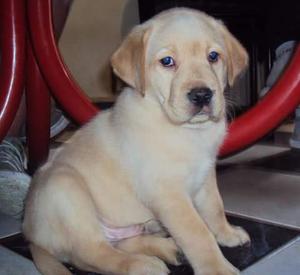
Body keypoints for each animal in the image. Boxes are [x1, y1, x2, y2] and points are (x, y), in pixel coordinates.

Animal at [22, 7, 248, 274]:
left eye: (213, 56)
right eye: (167, 61)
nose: (202, 94)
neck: (186, 131)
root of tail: (31, 236)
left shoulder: (205, 175)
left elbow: (215, 207)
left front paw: (227, 233)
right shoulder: (168, 194)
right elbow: (197, 232)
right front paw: (218, 267)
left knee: (120, 242)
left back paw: (168, 249)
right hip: (64, 189)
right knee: (91, 253)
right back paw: (141, 265)